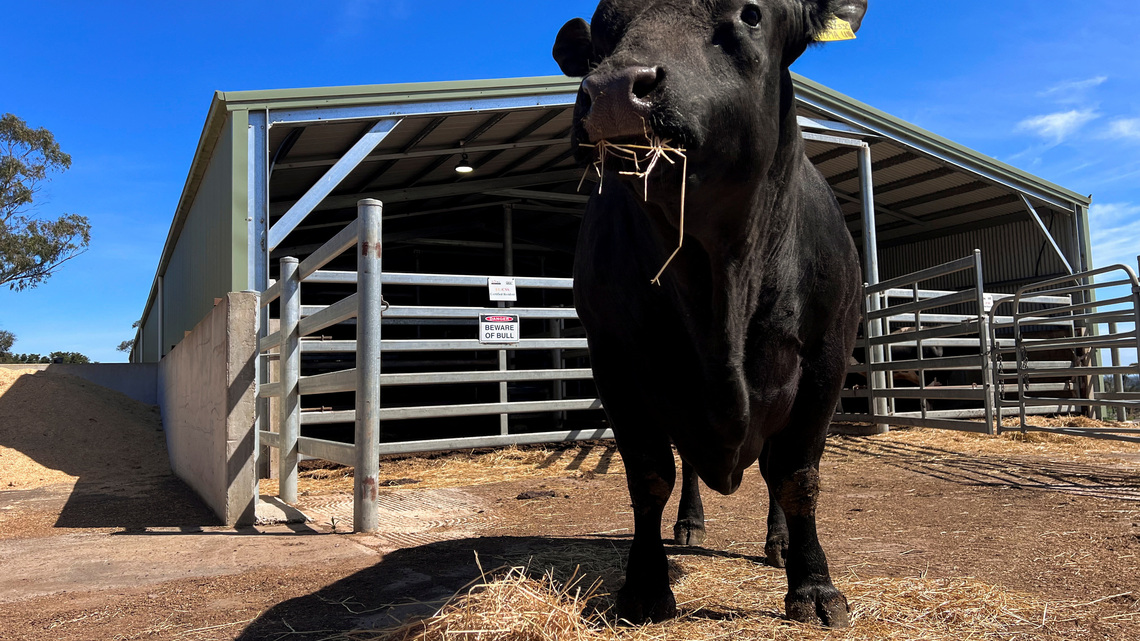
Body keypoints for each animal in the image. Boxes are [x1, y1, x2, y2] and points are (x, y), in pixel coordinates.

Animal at [552, 0, 867, 628]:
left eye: (750, 15)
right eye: (601, 34)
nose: (615, 90)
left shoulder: (827, 353)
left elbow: (797, 476)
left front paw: (814, 586)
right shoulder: (615, 358)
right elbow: (649, 475)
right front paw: (645, 586)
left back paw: (778, 544)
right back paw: (690, 525)